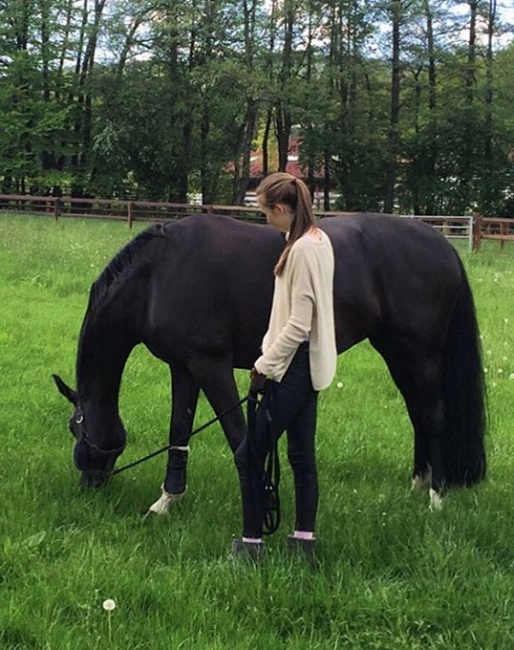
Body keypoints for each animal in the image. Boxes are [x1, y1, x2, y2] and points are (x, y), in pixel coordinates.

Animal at [54, 213, 486, 512]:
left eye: (76, 427)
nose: (89, 485)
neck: (157, 276)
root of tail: (442, 245)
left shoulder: (211, 365)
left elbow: (238, 435)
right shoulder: (183, 367)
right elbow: (179, 431)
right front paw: (166, 502)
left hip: (421, 354)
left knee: (434, 416)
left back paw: (436, 498)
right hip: (396, 352)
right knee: (417, 414)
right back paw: (419, 484)